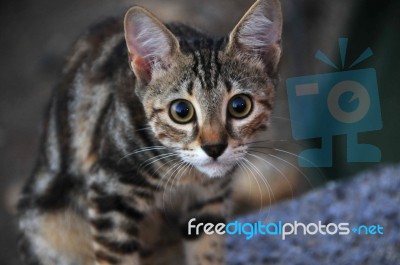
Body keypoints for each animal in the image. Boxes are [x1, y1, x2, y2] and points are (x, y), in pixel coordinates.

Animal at [18, 0, 282, 262]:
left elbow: (206, 253)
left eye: (240, 106)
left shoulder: (210, 200)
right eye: (181, 111)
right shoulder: (109, 197)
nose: (214, 148)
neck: (187, 174)